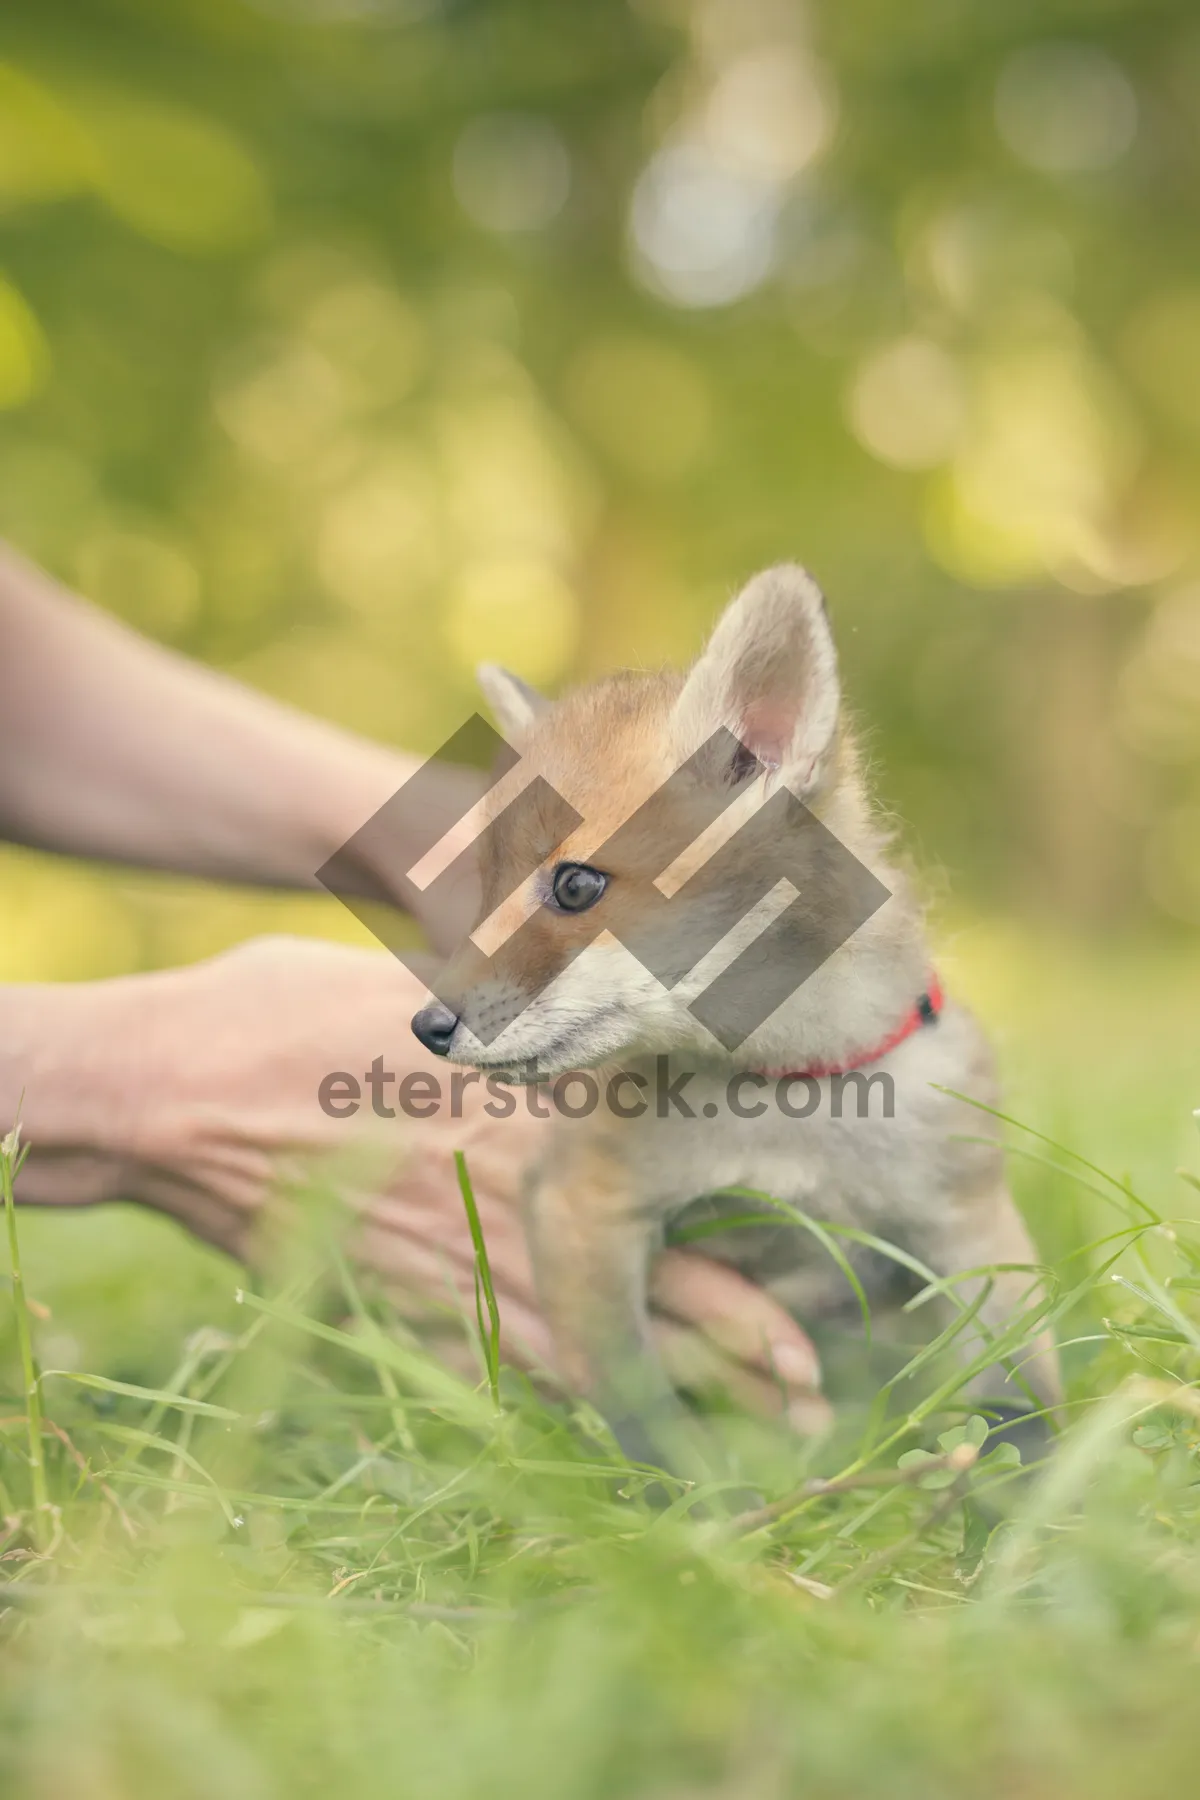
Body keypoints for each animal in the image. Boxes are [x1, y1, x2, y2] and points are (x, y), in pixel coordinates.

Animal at [413, 565, 1057, 1476]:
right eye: (485, 890)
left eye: (575, 885)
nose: (428, 1025)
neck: (786, 1095)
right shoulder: (584, 1209)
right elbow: (637, 1403)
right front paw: (682, 1498)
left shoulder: (971, 1224)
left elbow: (1020, 1403)